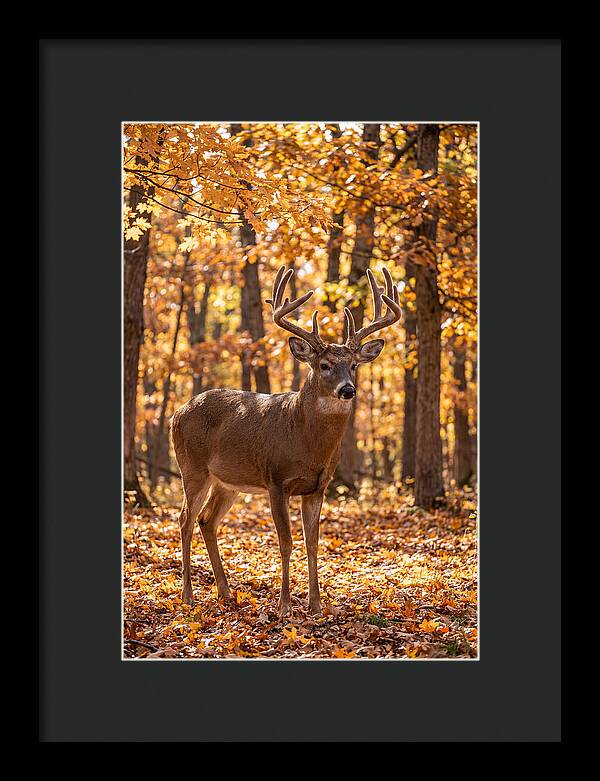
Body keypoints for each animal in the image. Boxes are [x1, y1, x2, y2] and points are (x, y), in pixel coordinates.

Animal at [170, 264, 402, 618]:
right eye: (324, 365)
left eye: (353, 365)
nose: (348, 389)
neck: (306, 442)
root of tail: (177, 412)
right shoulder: (276, 480)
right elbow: (286, 542)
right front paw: (285, 606)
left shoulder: (318, 487)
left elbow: (312, 543)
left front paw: (316, 605)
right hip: (192, 467)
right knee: (185, 518)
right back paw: (188, 596)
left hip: (228, 482)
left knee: (206, 520)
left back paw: (225, 592)